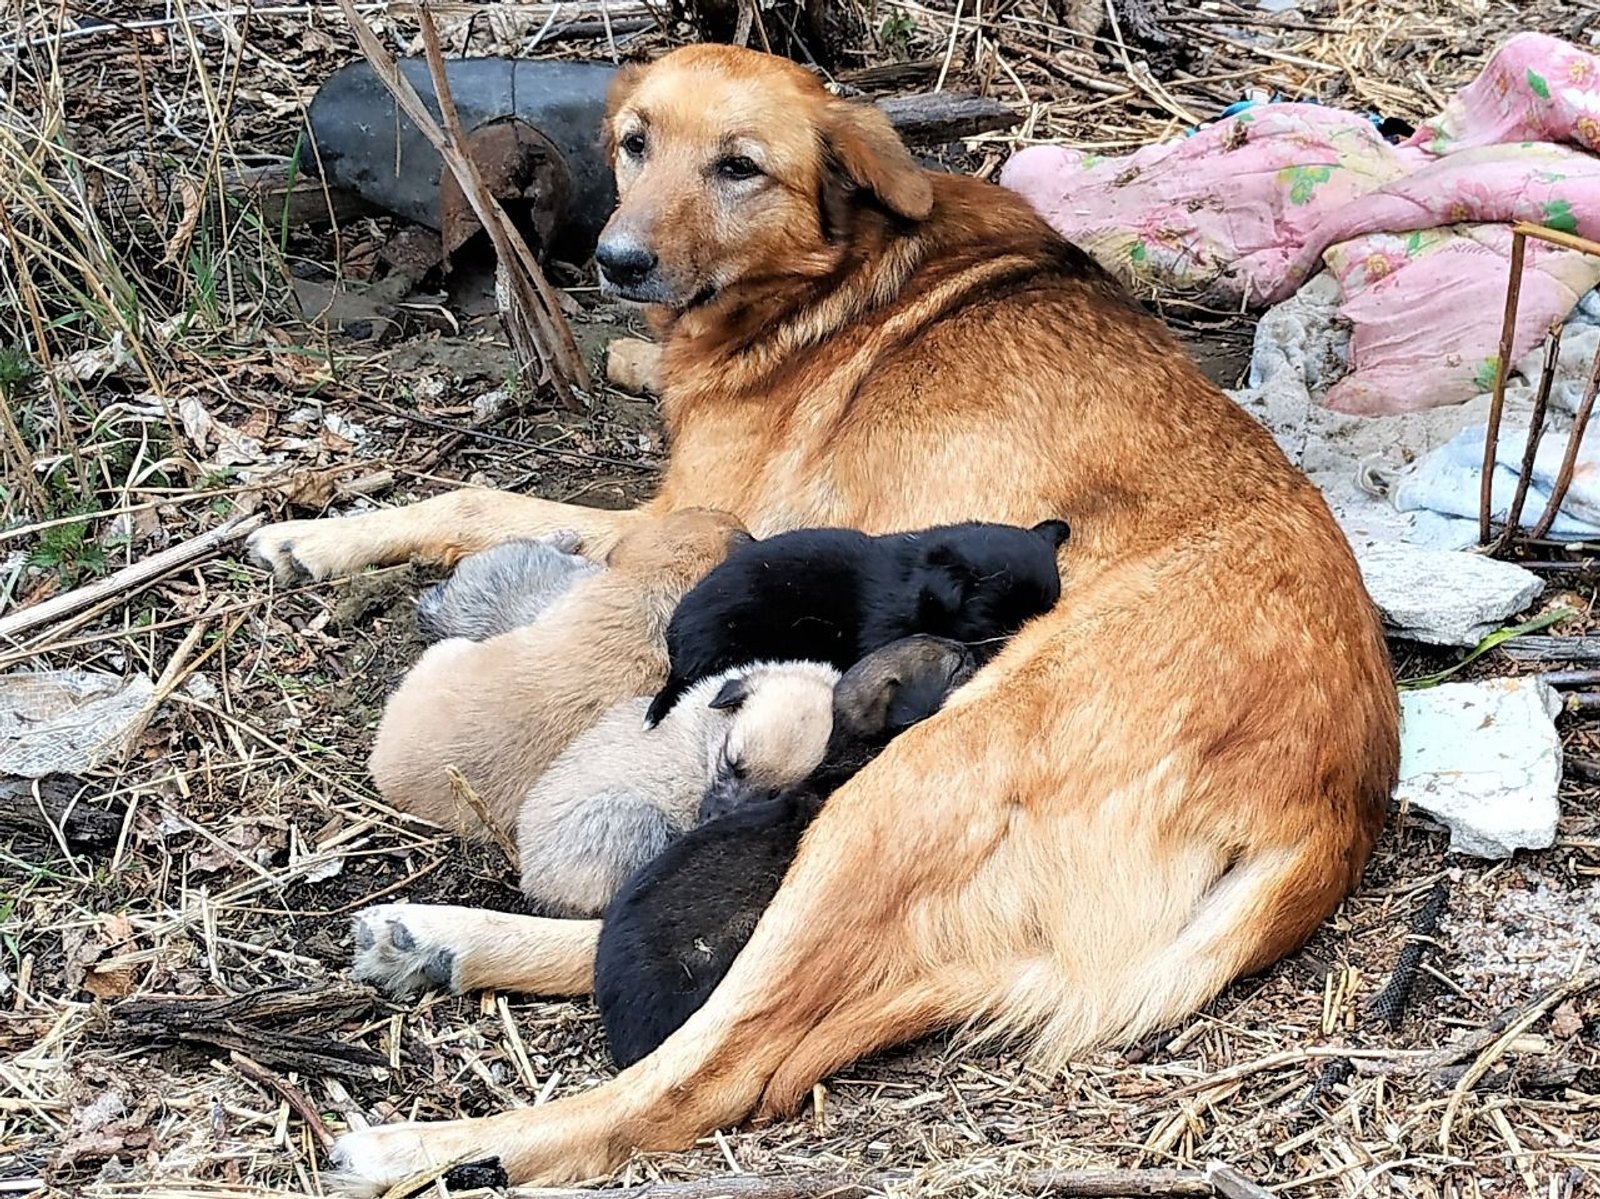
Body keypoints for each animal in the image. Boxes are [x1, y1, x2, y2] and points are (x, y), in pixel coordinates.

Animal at [515, 659, 838, 909]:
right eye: (731, 762)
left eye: (773, 794)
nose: (713, 819)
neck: (710, 736)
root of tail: (531, 876)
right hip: (631, 819)